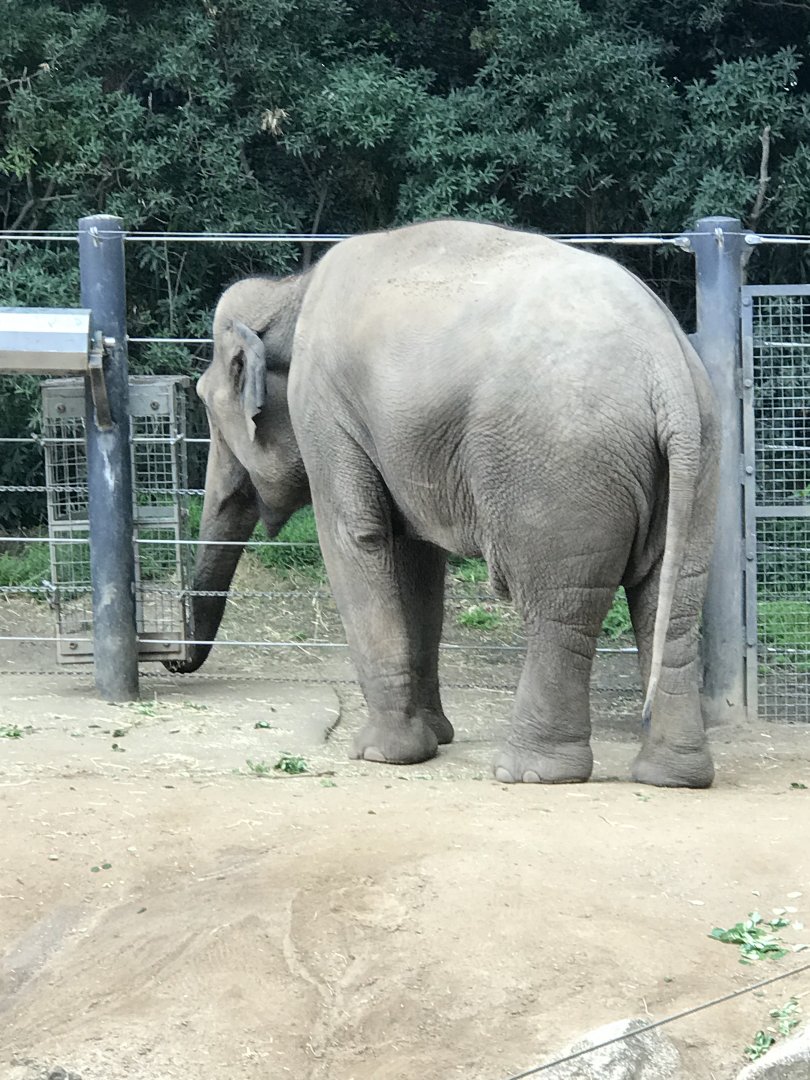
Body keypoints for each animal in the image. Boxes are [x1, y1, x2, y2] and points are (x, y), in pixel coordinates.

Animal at [167, 219, 719, 787]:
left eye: (206, 404)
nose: (171, 661)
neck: (289, 292)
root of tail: (668, 374)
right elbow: (416, 562)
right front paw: (435, 738)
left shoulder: (323, 407)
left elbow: (355, 538)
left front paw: (380, 754)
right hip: (698, 461)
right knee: (675, 604)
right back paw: (672, 776)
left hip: (561, 470)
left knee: (560, 608)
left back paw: (529, 772)